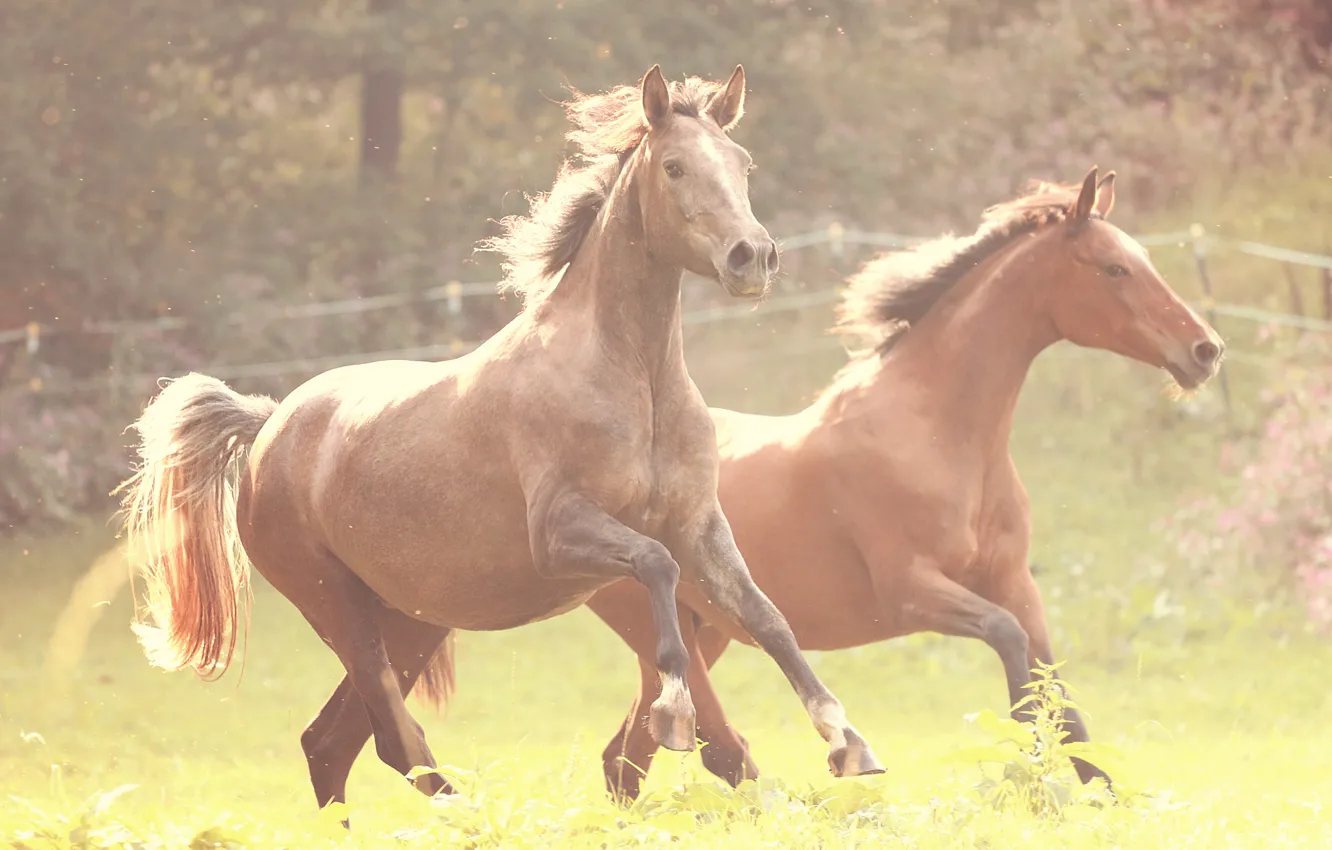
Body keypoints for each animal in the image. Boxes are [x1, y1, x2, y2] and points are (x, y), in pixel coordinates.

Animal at [113, 64, 884, 816]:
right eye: (673, 167)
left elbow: (768, 617)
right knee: (394, 740)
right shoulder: (564, 530)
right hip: (337, 608)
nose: (753, 257)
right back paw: (470, 812)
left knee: (330, 744)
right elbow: (657, 567)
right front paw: (673, 709)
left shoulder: (699, 525)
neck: (633, 382)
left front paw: (847, 741)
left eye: (742, 162)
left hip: (411, 621)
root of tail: (268, 423)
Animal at [587, 167, 1226, 800]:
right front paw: (1028, 765)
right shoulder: (912, 592)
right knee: (713, 749)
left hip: (703, 634)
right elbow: (1012, 645)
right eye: (1113, 268)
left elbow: (1062, 699)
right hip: (658, 632)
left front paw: (1094, 797)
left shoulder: (1014, 582)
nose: (1206, 349)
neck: (939, 437)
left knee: (628, 756)